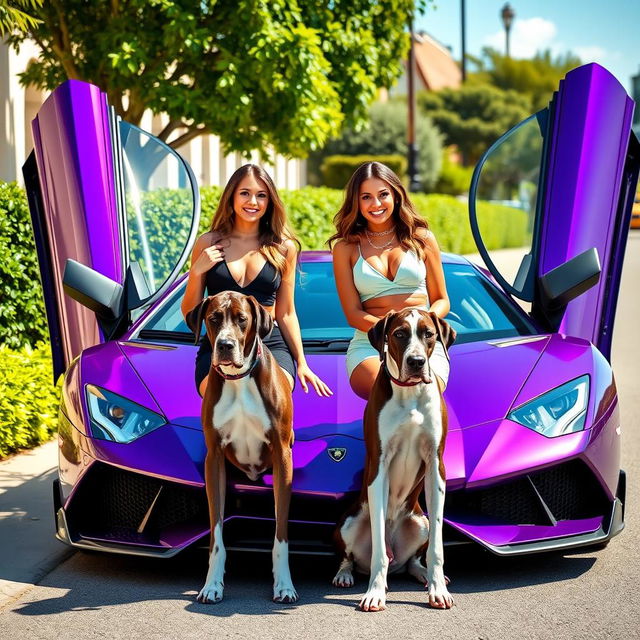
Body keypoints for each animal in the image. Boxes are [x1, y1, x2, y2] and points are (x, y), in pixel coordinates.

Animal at [184, 292, 296, 604]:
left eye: (242, 319)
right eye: (213, 319)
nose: (225, 345)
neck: (239, 380)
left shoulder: (282, 456)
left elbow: (281, 534)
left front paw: (284, 585)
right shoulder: (214, 459)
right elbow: (216, 535)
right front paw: (212, 584)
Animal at [336, 308, 456, 608]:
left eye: (428, 334)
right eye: (399, 334)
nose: (416, 362)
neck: (410, 392)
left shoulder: (436, 464)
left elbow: (437, 548)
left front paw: (438, 588)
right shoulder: (380, 464)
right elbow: (379, 548)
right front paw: (375, 593)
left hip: (420, 522)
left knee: (412, 560)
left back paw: (423, 573)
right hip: (350, 523)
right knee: (350, 556)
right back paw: (344, 574)